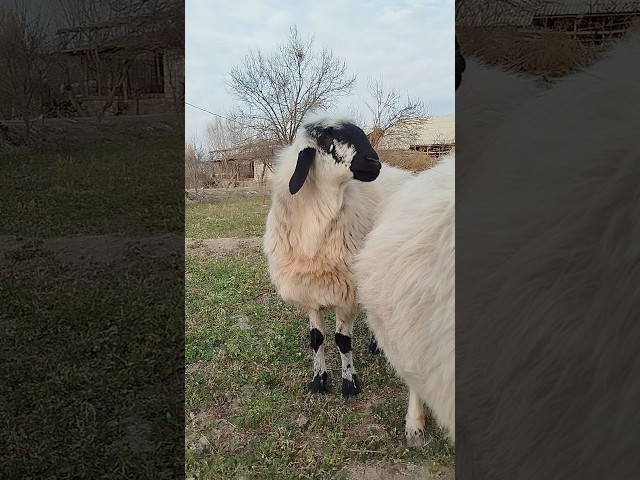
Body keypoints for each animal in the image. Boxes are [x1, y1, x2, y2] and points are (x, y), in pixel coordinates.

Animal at [262, 115, 416, 398]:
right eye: (324, 138)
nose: (374, 163)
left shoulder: (346, 292)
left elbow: (342, 341)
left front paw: (349, 384)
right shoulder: (310, 291)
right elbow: (316, 339)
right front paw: (318, 381)